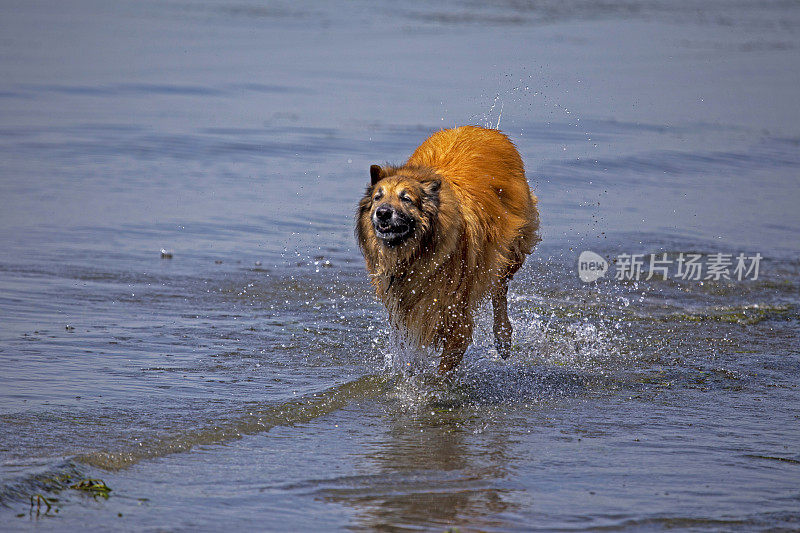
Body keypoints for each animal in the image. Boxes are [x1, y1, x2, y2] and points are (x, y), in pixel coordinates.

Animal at [358, 126, 540, 372]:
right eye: (378, 197)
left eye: (406, 199)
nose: (383, 213)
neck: (416, 253)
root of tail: (488, 130)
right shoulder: (407, 315)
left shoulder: (456, 316)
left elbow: (443, 370)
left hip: (511, 248)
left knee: (500, 288)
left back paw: (503, 337)